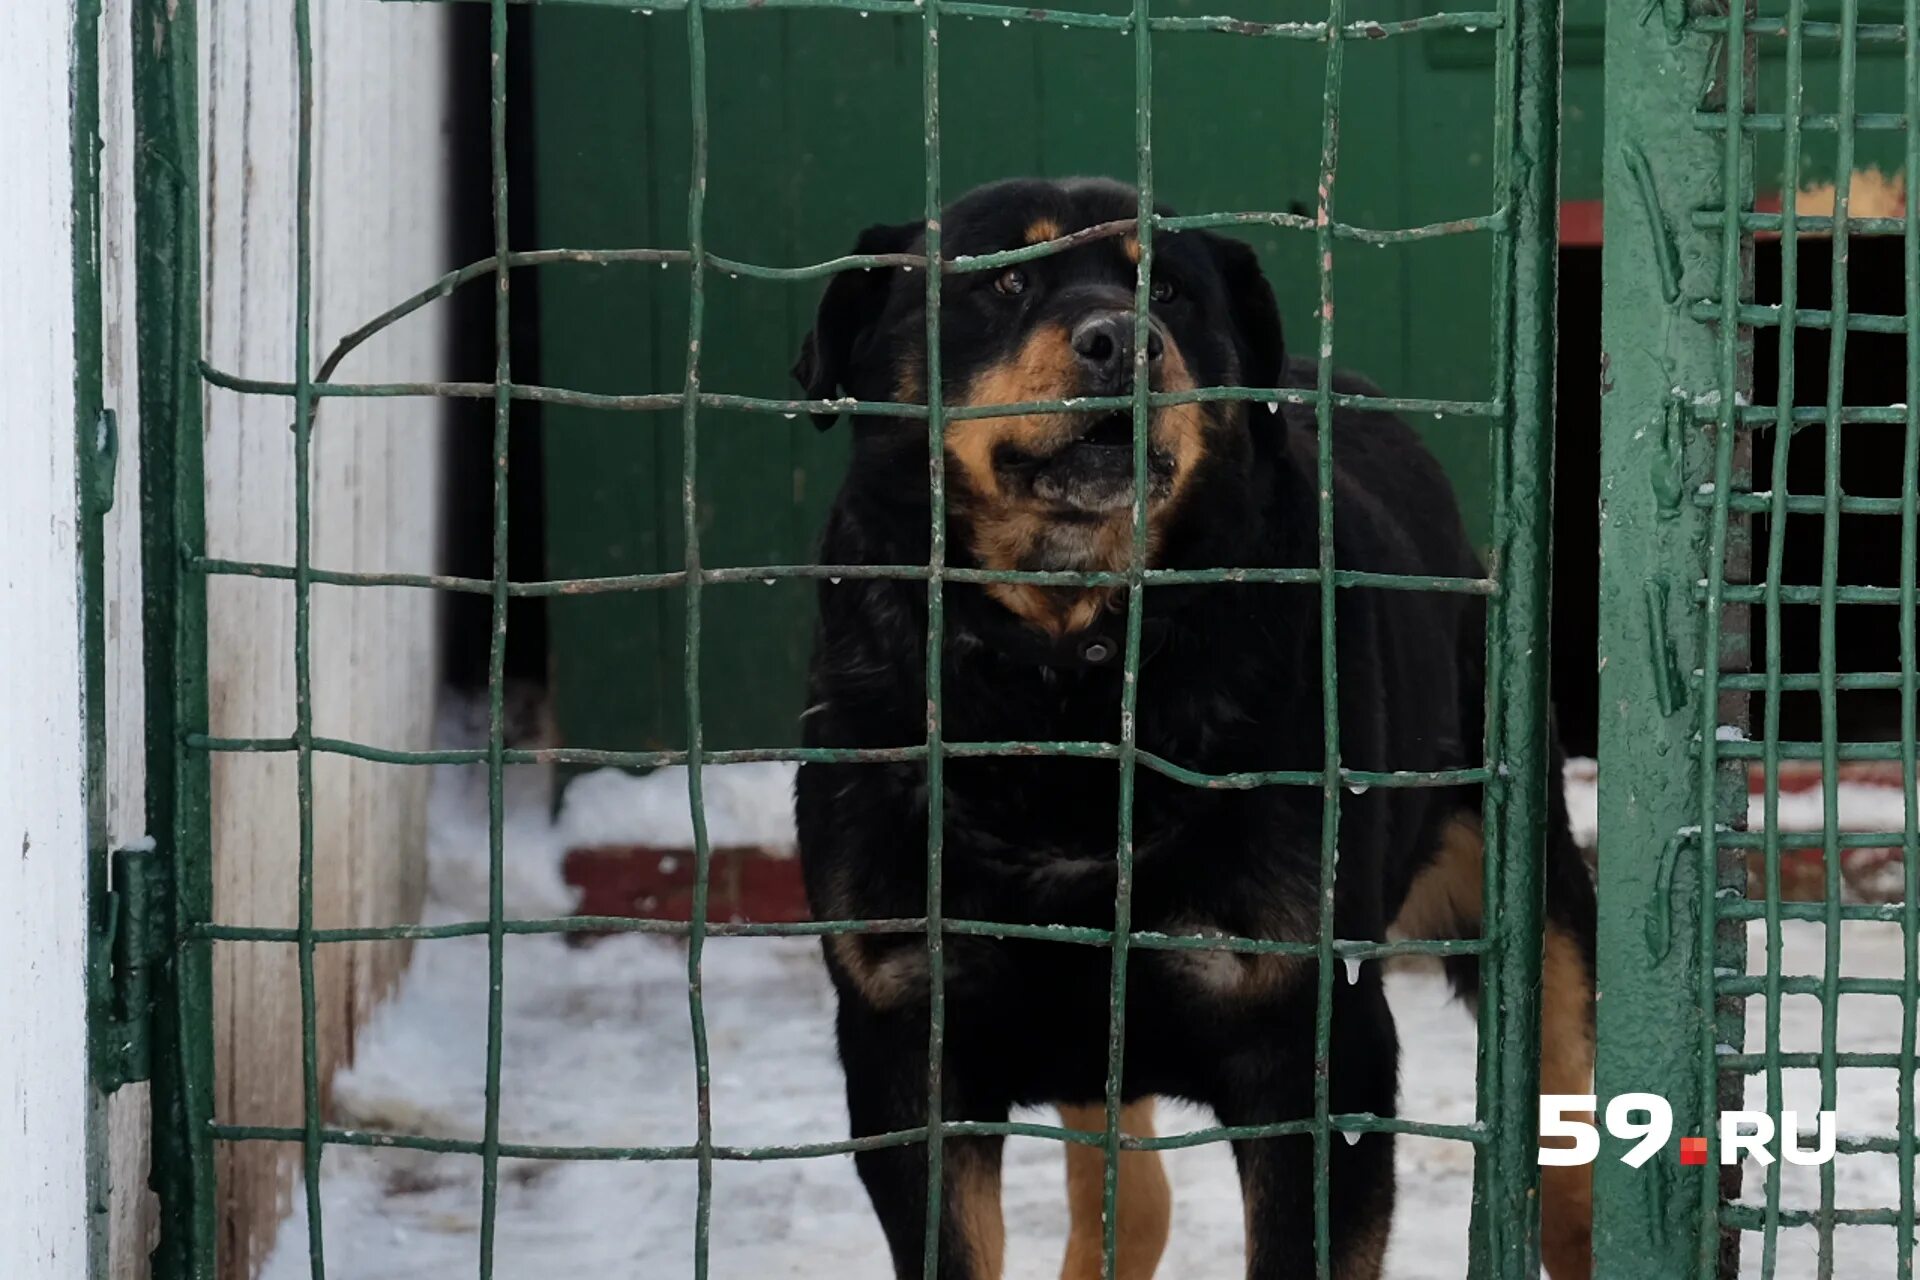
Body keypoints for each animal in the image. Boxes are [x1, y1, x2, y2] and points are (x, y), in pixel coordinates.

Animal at [787, 177, 1597, 1280]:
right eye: (1003, 281)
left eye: (1167, 288)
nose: (1123, 338)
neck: (1066, 676)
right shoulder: (904, 1047)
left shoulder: (1318, 1051)